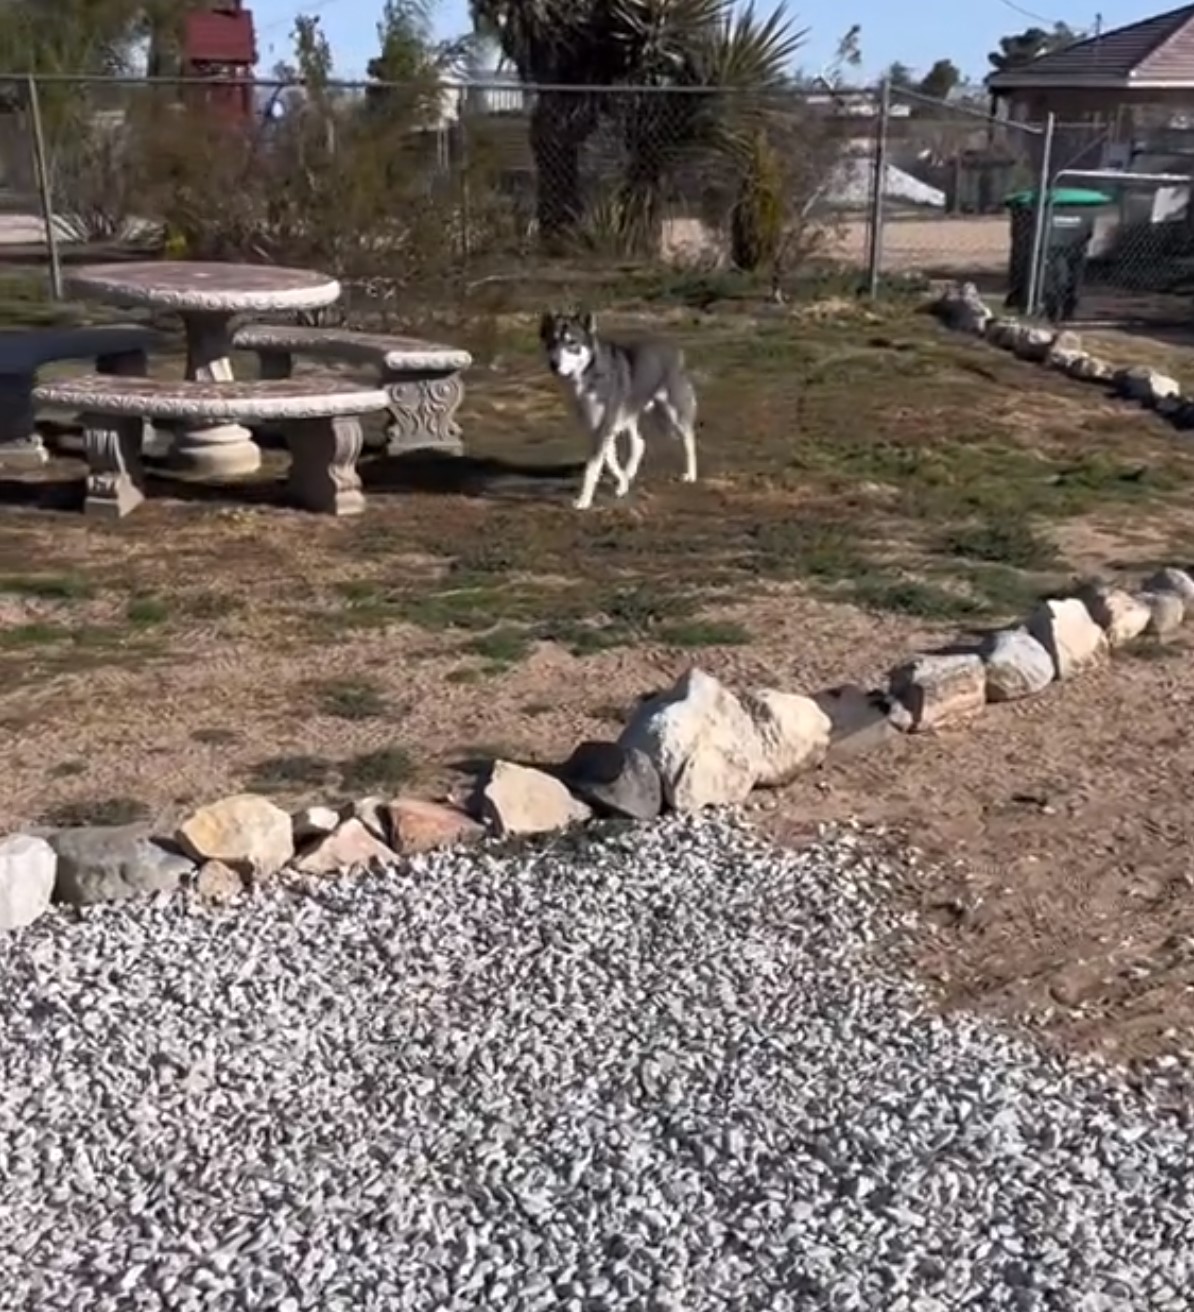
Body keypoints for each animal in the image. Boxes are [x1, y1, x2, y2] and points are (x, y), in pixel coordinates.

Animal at [537, 309, 698, 509]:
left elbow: (593, 467)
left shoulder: (604, 427)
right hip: (632, 416)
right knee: (639, 443)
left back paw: (691, 475)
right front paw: (622, 483)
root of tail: (674, 349)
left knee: (689, 440)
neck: (589, 374)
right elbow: (609, 460)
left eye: (571, 342)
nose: (554, 364)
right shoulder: (598, 429)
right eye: (551, 342)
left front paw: (584, 500)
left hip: (674, 415)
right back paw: (629, 474)